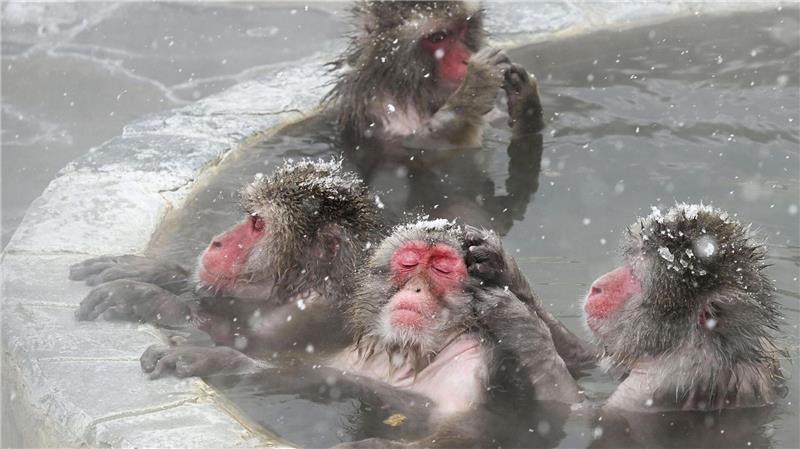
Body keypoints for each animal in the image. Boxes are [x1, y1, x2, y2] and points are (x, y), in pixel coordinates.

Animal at [70, 159, 384, 358]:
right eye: (251, 218)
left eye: (258, 224)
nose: (217, 241)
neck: (305, 285)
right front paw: (154, 271)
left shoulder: (308, 316)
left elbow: (249, 345)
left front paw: (148, 299)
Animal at [140, 219, 581, 448]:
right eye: (409, 263)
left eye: (441, 267)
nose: (416, 289)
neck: (415, 354)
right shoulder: (356, 361)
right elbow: (316, 377)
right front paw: (217, 358)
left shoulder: (477, 366)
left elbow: (486, 428)